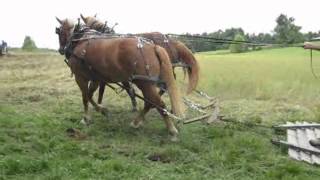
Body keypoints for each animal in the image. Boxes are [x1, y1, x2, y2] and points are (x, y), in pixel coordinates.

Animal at [56, 17, 184, 141]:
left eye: (59, 32)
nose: (61, 50)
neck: (80, 39)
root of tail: (153, 47)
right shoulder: (96, 78)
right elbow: (90, 95)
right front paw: (102, 110)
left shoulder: (80, 77)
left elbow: (85, 97)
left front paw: (86, 118)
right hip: (149, 84)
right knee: (151, 101)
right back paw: (137, 122)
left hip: (145, 83)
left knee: (159, 103)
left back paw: (171, 130)